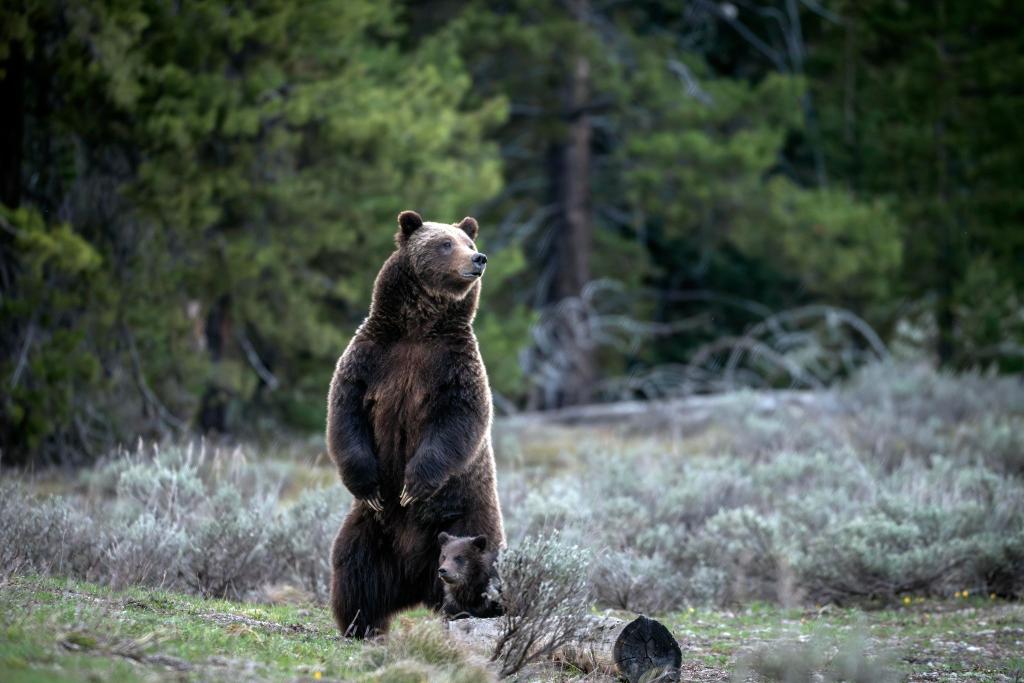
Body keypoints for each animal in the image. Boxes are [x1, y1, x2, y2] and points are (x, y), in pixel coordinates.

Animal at [325, 210, 505, 638]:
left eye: (469, 243)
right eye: (445, 243)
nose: (479, 259)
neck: (418, 328)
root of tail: (414, 581)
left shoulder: (454, 367)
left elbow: (459, 421)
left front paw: (413, 485)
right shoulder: (371, 358)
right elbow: (345, 414)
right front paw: (371, 485)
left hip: (467, 518)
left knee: (478, 565)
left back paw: (466, 611)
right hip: (372, 530)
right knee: (354, 568)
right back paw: (361, 624)